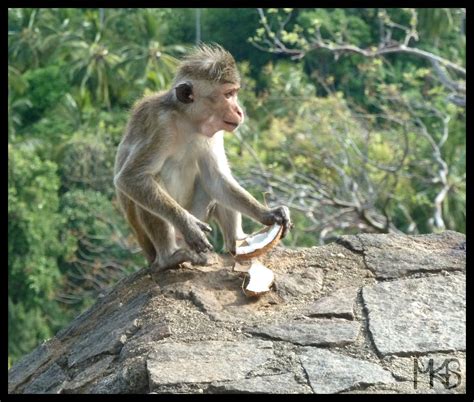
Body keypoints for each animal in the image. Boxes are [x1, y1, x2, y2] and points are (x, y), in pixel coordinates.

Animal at [115, 44, 292, 272]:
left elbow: (216, 178)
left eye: (233, 93)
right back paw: (169, 258)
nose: (239, 111)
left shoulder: (215, 133)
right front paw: (188, 224)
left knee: (213, 184)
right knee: (150, 180)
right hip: (162, 245)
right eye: (228, 95)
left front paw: (269, 214)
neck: (188, 120)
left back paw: (238, 241)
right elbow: (131, 178)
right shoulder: (160, 125)